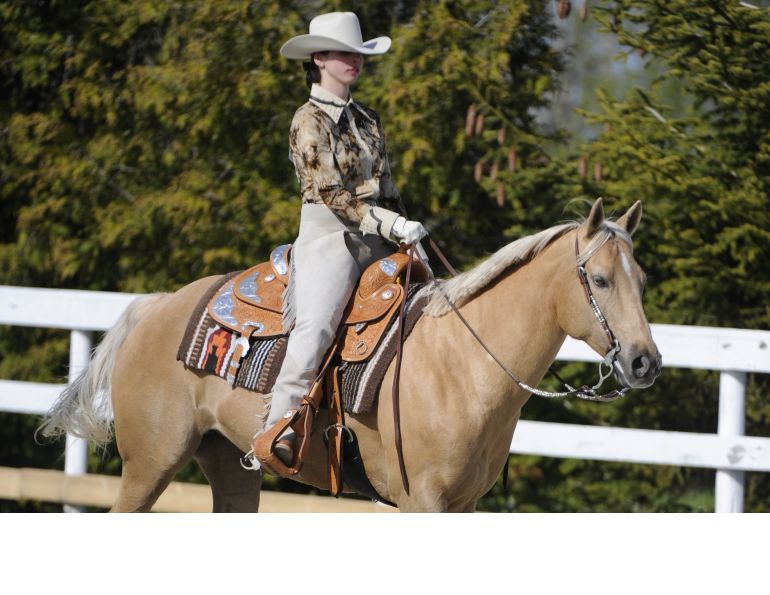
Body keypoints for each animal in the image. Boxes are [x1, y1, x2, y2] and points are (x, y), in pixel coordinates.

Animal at [40, 198, 661, 512]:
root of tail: (156, 307)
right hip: (150, 465)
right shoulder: (422, 503)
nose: (644, 362)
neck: (463, 366)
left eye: (642, 279)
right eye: (600, 280)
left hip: (230, 469)